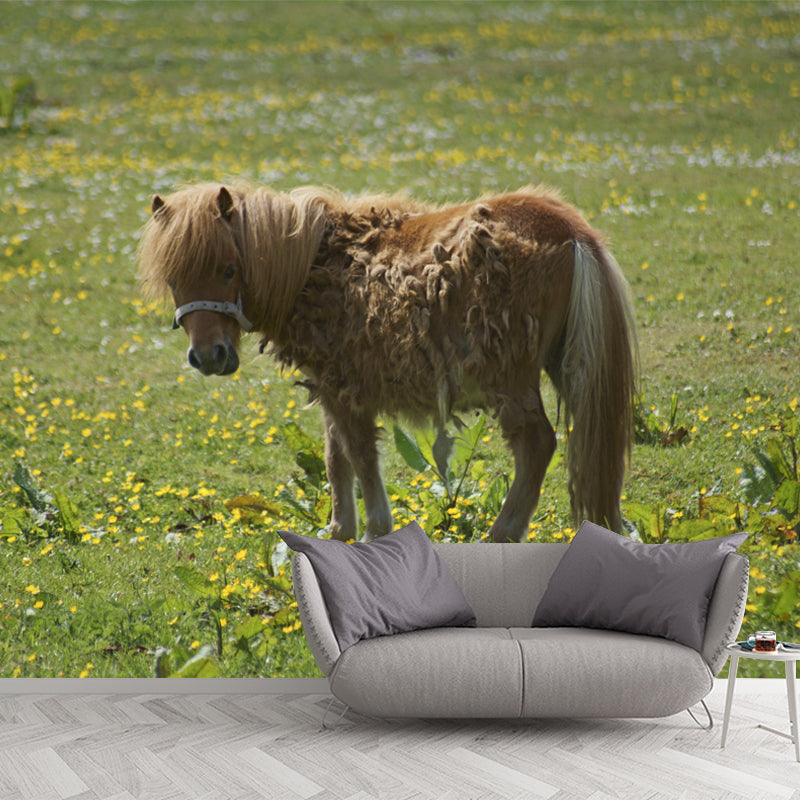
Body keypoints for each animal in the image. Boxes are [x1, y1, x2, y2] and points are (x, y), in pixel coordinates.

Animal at [138, 182, 637, 543]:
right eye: (174, 278)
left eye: (228, 269)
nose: (208, 357)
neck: (314, 267)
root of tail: (572, 232)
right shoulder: (331, 388)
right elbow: (335, 456)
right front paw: (339, 531)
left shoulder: (345, 390)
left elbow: (359, 456)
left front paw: (375, 531)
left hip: (511, 379)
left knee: (537, 445)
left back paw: (502, 534)